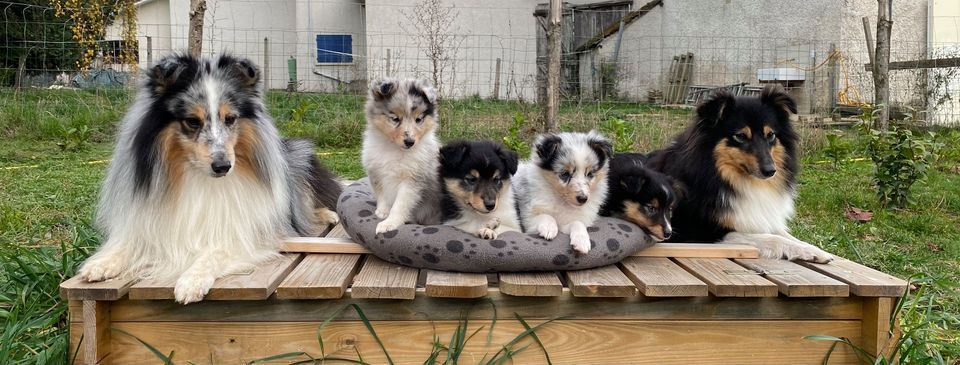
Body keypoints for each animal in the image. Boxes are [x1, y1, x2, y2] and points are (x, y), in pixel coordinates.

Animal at [78, 53, 342, 304]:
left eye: (230, 119)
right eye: (192, 121)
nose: (223, 166)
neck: (199, 178)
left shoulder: (246, 233)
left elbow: (216, 251)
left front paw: (191, 281)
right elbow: (129, 243)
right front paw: (101, 263)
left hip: (299, 158)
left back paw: (329, 215)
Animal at [364, 78, 442, 235]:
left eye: (419, 119)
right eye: (395, 118)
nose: (410, 142)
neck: (394, 149)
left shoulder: (412, 180)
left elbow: (399, 205)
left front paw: (389, 224)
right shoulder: (376, 172)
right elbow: (381, 195)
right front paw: (382, 212)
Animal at [644, 85, 832, 262]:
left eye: (771, 135)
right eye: (740, 136)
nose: (770, 171)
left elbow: (785, 234)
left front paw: (817, 251)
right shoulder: (696, 231)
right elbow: (768, 237)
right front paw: (807, 251)